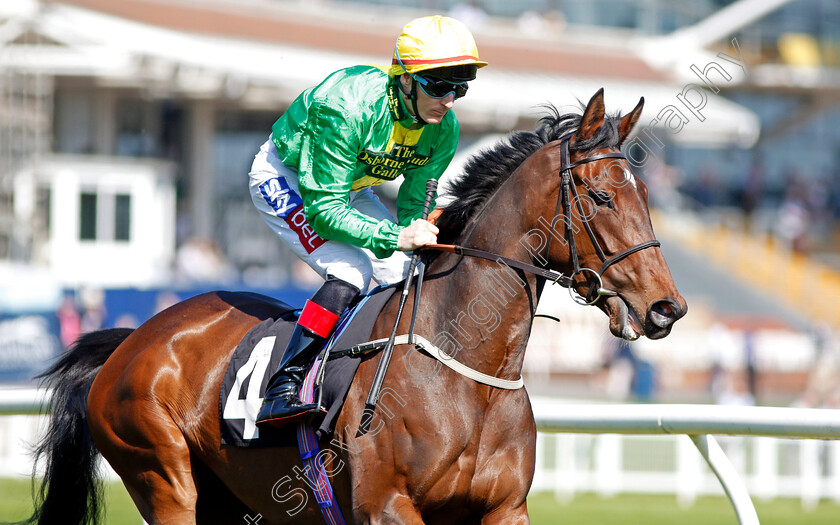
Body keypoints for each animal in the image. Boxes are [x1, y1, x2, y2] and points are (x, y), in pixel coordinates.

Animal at [19, 88, 684, 520]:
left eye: (647, 195)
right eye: (600, 196)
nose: (666, 308)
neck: (468, 373)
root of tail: (132, 339)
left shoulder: (504, 509)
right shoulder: (388, 506)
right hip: (164, 478)